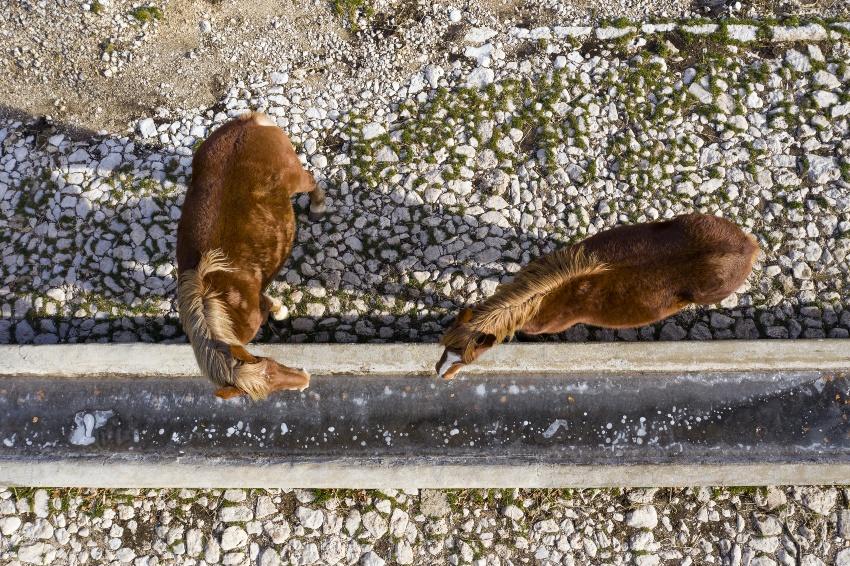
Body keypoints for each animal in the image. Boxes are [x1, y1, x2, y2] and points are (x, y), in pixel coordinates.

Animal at [176, 113, 324, 402]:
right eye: (267, 365)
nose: (305, 380)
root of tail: (250, 121)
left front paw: (280, 311)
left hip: (296, 177)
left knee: (311, 180)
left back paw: (318, 206)